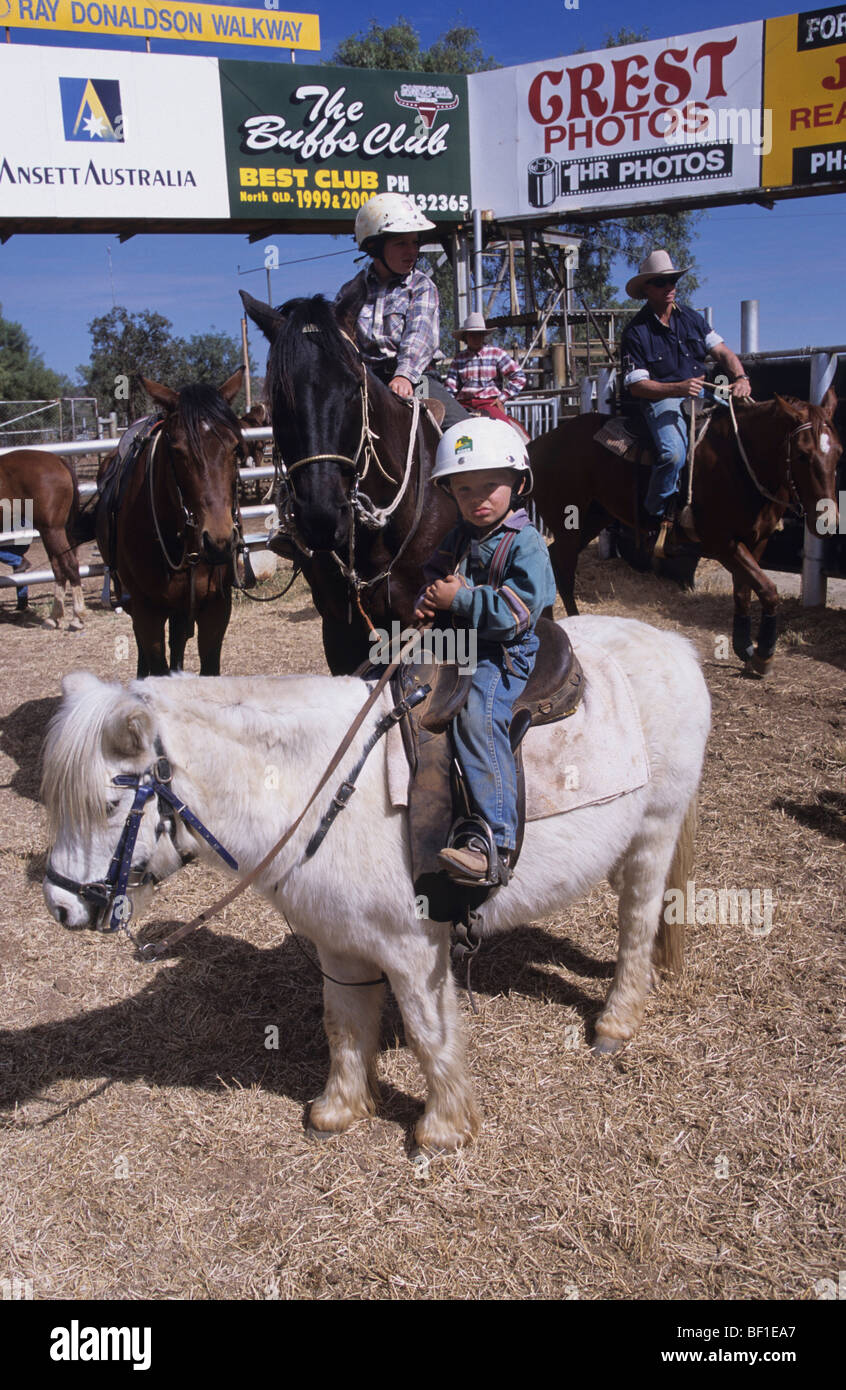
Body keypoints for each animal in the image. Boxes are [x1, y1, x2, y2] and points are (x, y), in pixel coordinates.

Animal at [0, 450, 85, 631]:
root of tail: (58, 460)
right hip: (47, 532)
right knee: (58, 569)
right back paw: (53, 617)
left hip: (53, 530)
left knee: (70, 565)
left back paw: (77, 617)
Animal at [42, 617, 708, 1150]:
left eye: (107, 805)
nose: (61, 906)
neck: (319, 785)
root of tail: (671, 643)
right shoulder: (340, 944)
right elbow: (343, 1023)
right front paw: (337, 1111)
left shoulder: (414, 950)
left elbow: (427, 1033)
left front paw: (443, 1128)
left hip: (654, 832)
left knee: (637, 919)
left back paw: (617, 1020)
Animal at [527, 389, 839, 675]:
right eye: (802, 455)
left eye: (839, 452)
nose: (829, 520)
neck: (739, 461)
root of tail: (538, 443)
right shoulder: (722, 543)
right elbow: (768, 590)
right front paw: (764, 655)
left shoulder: (756, 541)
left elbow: (745, 591)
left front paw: (745, 648)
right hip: (569, 524)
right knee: (562, 568)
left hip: (592, 519)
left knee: (555, 559)